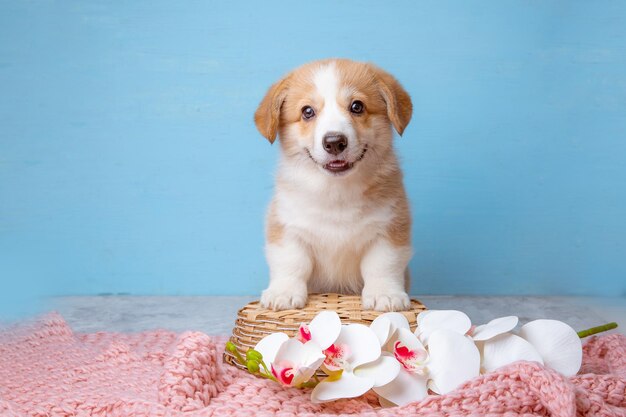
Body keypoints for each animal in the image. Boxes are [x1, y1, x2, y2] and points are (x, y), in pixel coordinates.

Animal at [251, 59, 412, 312]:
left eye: (357, 106)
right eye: (307, 112)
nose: (335, 142)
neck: (336, 191)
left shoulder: (389, 229)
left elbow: (381, 265)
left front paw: (386, 295)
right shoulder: (287, 228)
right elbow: (292, 263)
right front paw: (283, 293)